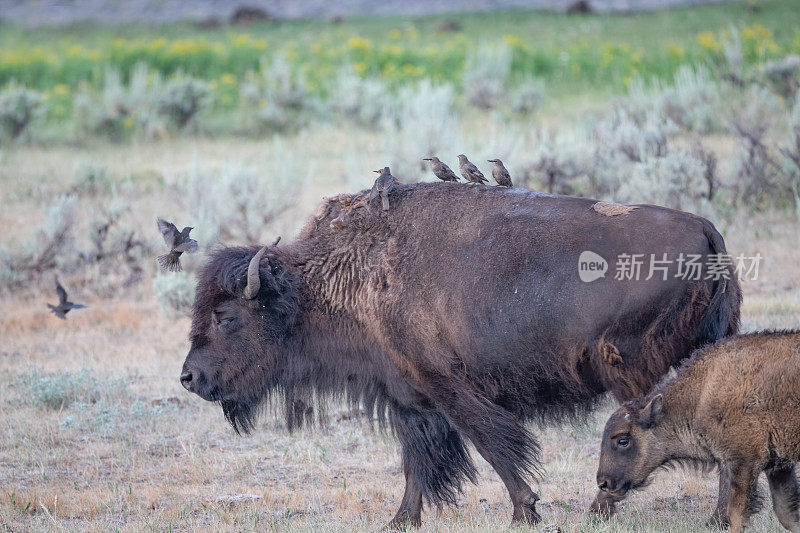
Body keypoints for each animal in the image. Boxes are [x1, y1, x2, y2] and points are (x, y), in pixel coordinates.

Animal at [178, 183, 740, 528]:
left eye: (225, 316)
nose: (189, 377)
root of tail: (704, 229)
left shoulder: (449, 388)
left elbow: (492, 445)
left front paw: (525, 510)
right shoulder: (408, 396)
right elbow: (418, 463)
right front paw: (401, 520)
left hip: (633, 370)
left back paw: (604, 509)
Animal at [592, 330, 800, 528]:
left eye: (623, 440)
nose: (603, 482)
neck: (702, 394)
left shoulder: (745, 462)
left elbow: (736, 515)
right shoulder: (778, 466)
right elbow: (787, 515)